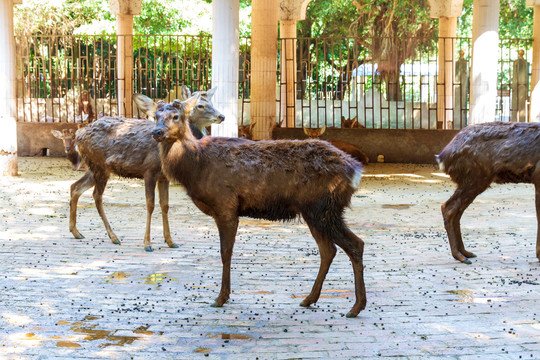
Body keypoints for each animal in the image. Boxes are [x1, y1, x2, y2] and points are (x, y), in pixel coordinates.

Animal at [69, 87, 224, 252]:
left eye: (176, 116)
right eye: (155, 116)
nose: (157, 132)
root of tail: (78, 135)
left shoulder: (164, 177)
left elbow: (165, 205)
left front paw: (170, 241)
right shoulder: (148, 171)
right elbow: (150, 205)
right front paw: (147, 244)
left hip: (95, 167)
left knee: (75, 187)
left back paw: (76, 232)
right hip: (99, 166)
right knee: (96, 195)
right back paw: (114, 236)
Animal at [146, 95, 368, 318]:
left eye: (176, 116)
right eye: (155, 116)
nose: (157, 132)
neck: (196, 167)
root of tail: (355, 171)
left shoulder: (226, 204)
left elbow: (225, 252)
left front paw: (221, 298)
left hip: (325, 207)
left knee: (355, 244)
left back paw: (356, 307)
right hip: (314, 212)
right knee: (328, 250)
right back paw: (309, 299)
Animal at [436, 121, 540, 264]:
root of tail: (442, 157)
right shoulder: (538, 178)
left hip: (473, 180)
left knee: (456, 211)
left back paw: (466, 252)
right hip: (475, 178)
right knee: (448, 208)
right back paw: (460, 256)